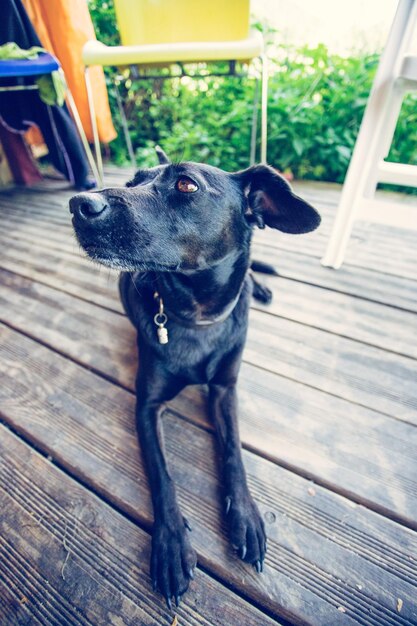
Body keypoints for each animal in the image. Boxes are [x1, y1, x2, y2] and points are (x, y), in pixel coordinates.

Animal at [70, 146, 320, 604]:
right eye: (132, 182)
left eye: (186, 185)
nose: (80, 204)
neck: (197, 316)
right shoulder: (147, 406)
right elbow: (162, 476)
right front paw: (171, 544)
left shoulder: (225, 389)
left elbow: (233, 451)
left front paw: (245, 515)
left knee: (252, 271)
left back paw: (260, 287)